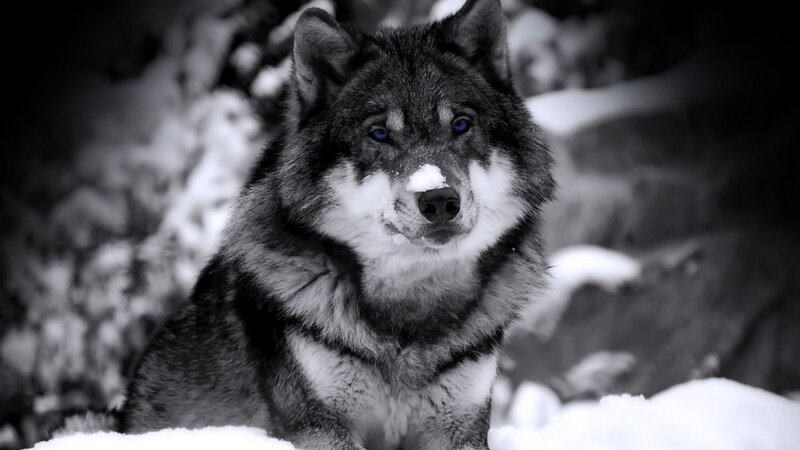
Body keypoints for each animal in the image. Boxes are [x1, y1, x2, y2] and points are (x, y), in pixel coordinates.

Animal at [116, 0, 554, 448]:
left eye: (461, 125)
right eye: (379, 134)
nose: (439, 199)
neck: (409, 313)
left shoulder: (461, 427)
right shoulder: (319, 425)